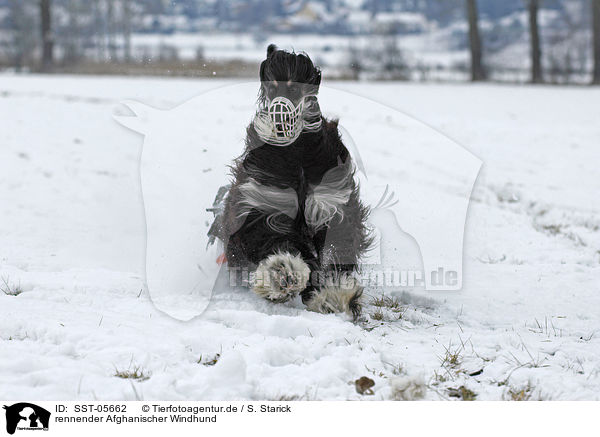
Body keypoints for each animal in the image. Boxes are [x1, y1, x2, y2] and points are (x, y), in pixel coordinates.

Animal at [210, 44, 370, 318]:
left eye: (295, 89)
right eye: (271, 87)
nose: (279, 120)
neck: (297, 154)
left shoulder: (331, 203)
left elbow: (335, 247)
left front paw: (332, 294)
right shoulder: (266, 206)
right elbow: (277, 241)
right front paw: (282, 273)